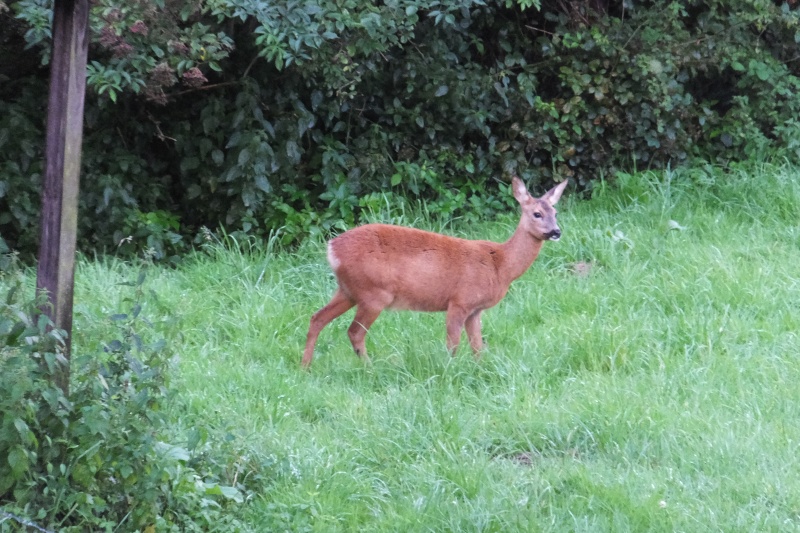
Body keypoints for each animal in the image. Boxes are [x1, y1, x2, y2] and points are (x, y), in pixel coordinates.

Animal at [300, 177, 568, 368]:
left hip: (348, 290)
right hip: (374, 292)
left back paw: (305, 367)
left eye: (556, 213)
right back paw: (369, 367)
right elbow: (453, 343)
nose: (556, 231)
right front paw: (449, 369)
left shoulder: (475, 310)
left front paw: (479, 369)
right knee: (354, 332)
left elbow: (477, 346)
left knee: (317, 318)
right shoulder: (459, 301)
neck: (500, 264)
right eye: (537, 213)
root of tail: (332, 249)